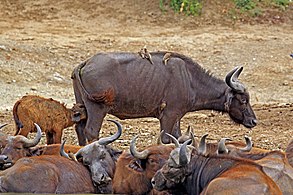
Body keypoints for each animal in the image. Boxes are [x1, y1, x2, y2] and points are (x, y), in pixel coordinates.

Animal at [71, 51, 256, 145]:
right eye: (243, 100)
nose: (254, 121)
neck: (189, 79)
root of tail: (85, 63)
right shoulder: (168, 116)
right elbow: (166, 139)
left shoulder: (177, 118)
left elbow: (180, 138)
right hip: (97, 109)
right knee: (91, 131)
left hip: (82, 107)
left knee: (80, 129)